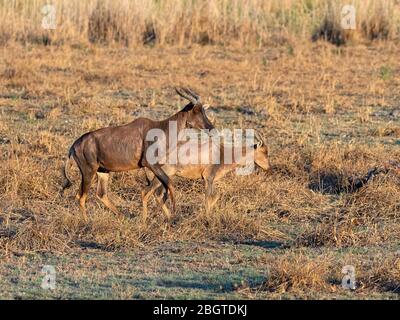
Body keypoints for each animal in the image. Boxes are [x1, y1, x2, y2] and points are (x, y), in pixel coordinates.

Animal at [61, 87, 214, 218]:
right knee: (81, 196)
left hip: (103, 171)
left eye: (203, 110)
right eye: (195, 111)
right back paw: (87, 222)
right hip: (88, 171)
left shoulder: (152, 168)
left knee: (101, 194)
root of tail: (74, 146)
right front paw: (173, 213)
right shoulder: (150, 164)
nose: (211, 128)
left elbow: (157, 190)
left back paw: (122, 217)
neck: (160, 128)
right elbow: (168, 183)